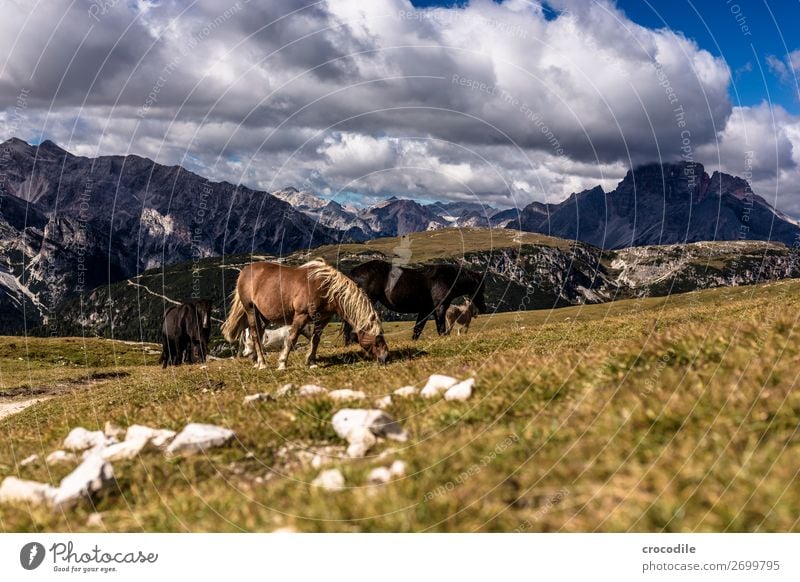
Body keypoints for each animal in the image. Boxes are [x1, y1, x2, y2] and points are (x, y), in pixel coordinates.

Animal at [220, 260, 390, 370]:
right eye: (377, 338)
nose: (386, 358)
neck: (326, 288)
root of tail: (244, 272)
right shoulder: (301, 316)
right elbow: (292, 338)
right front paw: (282, 363)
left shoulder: (323, 319)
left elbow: (315, 339)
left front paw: (311, 361)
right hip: (251, 311)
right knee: (255, 334)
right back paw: (262, 363)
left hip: (264, 316)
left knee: (259, 334)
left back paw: (256, 360)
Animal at [346, 262, 488, 342]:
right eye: (481, 287)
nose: (483, 309)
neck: (446, 278)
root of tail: (354, 272)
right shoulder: (440, 308)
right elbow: (441, 328)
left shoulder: (425, 310)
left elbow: (417, 329)